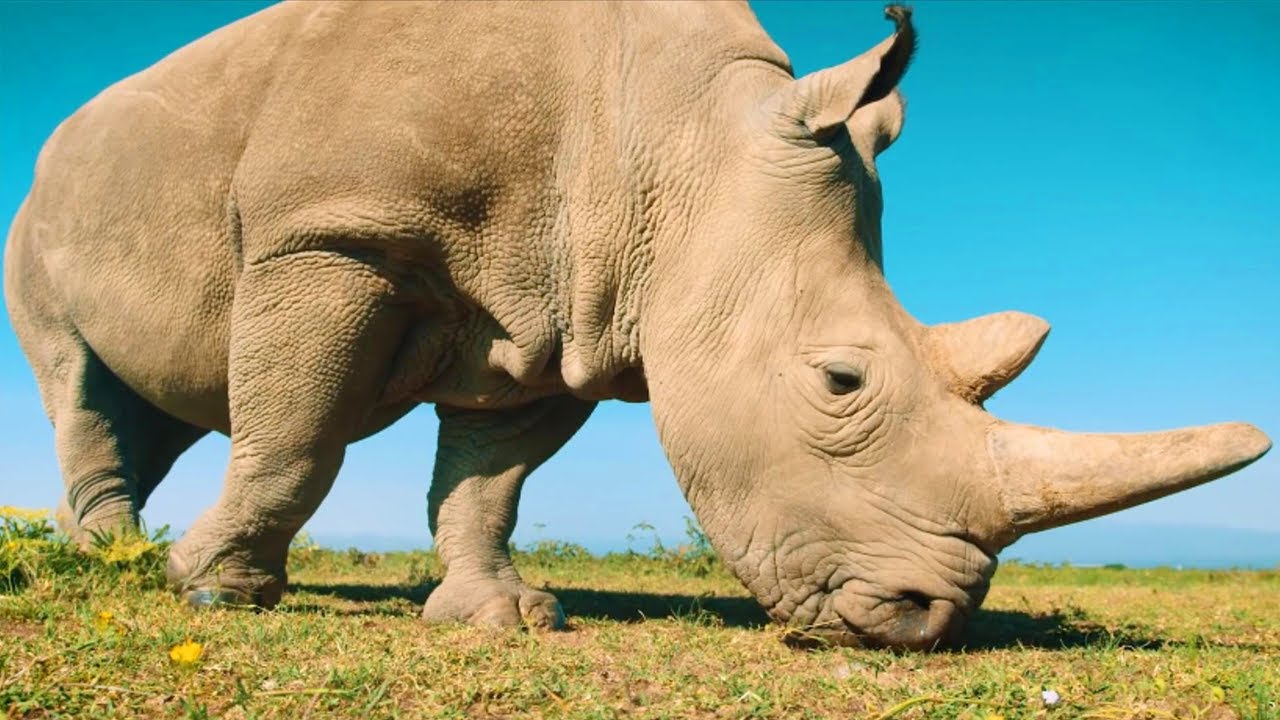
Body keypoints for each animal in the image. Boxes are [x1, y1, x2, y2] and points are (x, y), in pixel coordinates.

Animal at [4, 1, 1270, 650]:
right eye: (839, 383)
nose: (924, 620)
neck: (678, 134)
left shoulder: (559, 312)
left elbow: (486, 482)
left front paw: (499, 616)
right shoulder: (333, 233)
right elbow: (297, 437)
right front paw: (217, 592)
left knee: (158, 402)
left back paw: (112, 549)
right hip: (39, 206)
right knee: (76, 375)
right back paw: (119, 561)